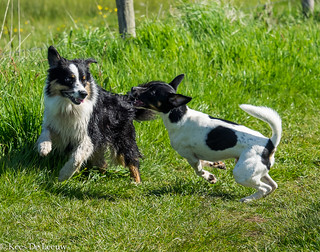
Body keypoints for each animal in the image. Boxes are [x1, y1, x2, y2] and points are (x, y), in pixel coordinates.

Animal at [36, 46, 154, 182]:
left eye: (84, 80)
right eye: (68, 79)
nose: (84, 93)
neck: (69, 107)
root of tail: (125, 100)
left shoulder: (90, 134)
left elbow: (77, 158)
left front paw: (64, 175)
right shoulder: (55, 123)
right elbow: (46, 132)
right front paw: (44, 147)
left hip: (123, 138)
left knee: (132, 159)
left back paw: (136, 182)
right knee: (103, 163)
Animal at [129, 74, 282, 202]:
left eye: (152, 93)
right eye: (147, 85)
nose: (132, 88)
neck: (180, 116)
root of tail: (269, 144)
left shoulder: (189, 156)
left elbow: (198, 170)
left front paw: (210, 177)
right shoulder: (197, 155)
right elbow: (204, 161)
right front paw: (216, 165)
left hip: (241, 173)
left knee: (265, 188)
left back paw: (248, 199)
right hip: (256, 171)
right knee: (273, 185)